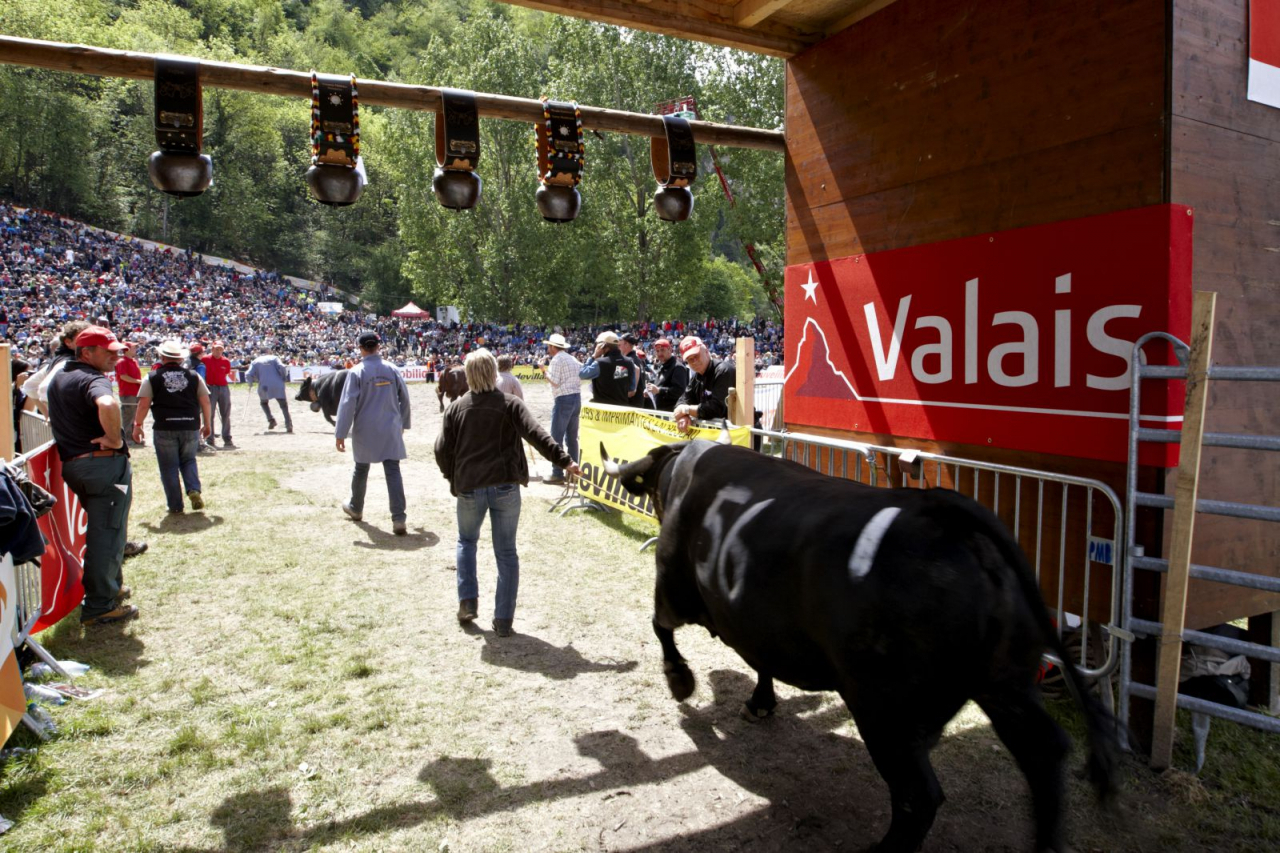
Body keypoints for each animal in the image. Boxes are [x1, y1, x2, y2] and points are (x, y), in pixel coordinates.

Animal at [604, 438, 1116, 850]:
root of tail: (943, 511)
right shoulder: (762, 623)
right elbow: (761, 662)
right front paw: (761, 701)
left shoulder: (673, 584)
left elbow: (660, 628)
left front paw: (680, 681)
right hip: (1004, 685)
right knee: (1044, 754)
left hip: (884, 708)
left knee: (917, 796)